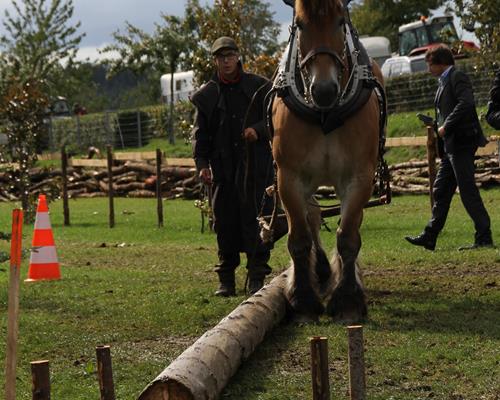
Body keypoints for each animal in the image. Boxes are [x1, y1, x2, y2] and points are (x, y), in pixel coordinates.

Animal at [274, 0, 386, 322]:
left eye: (340, 22)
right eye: (300, 24)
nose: (324, 90)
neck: (325, 114)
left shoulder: (359, 177)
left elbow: (348, 237)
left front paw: (348, 298)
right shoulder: (288, 177)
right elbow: (299, 238)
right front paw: (302, 298)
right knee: (312, 217)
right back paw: (321, 269)